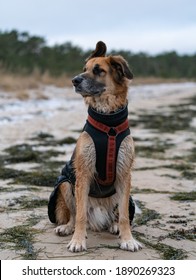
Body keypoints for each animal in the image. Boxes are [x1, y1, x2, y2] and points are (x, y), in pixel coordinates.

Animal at [48, 42, 142, 254]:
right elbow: (80, 215)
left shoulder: (124, 174)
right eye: (84, 69)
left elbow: (125, 215)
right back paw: (68, 227)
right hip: (67, 184)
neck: (109, 124)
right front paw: (77, 240)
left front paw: (128, 239)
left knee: (116, 214)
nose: (74, 80)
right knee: (75, 215)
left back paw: (114, 225)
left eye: (99, 70)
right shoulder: (83, 174)